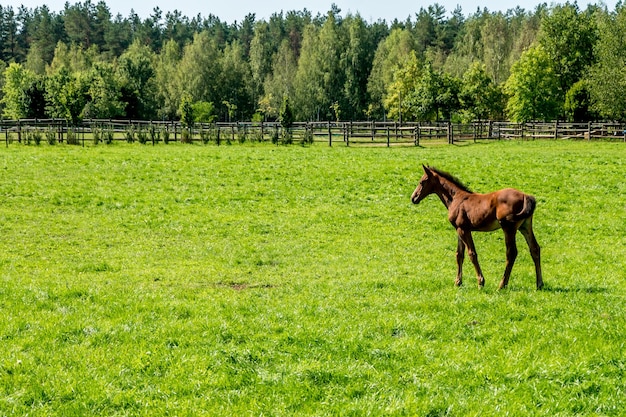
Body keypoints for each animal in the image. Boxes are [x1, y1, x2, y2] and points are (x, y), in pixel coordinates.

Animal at [410, 165, 540, 290]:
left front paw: (480, 282)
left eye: (422, 181)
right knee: (535, 248)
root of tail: (525, 196)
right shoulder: (459, 229)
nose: (413, 198)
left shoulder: (464, 230)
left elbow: (472, 254)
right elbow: (459, 255)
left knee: (511, 253)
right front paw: (458, 282)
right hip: (525, 226)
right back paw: (539, 284)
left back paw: (502, 285)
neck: (456, 198)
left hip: (509, 228)